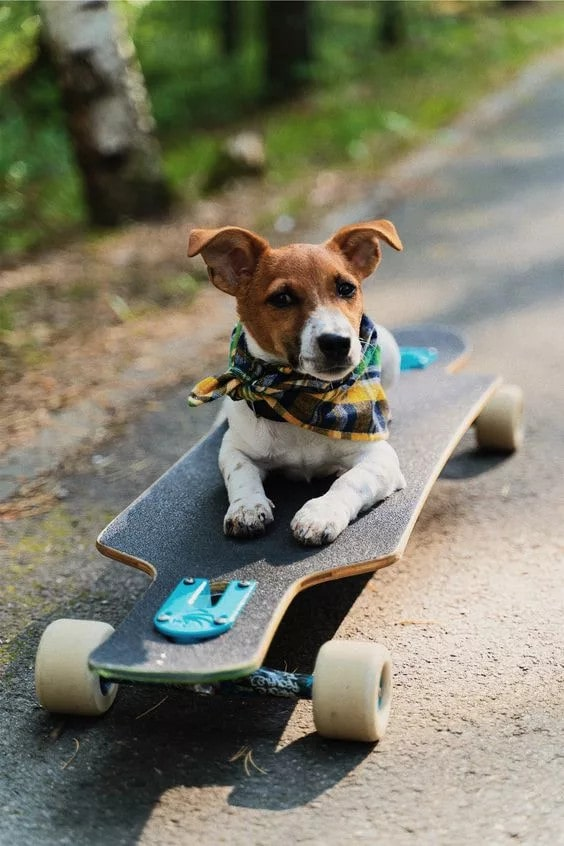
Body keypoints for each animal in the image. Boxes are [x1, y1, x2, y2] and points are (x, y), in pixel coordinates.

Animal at [188, 222, 406, 548]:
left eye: (346, 288)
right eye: (282, 299)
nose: (337, 343)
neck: (301, 395)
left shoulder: (380, 458)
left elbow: (350, 480)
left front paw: (321, 513)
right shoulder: (234, 448)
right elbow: (241, 473)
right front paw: (246, 507)